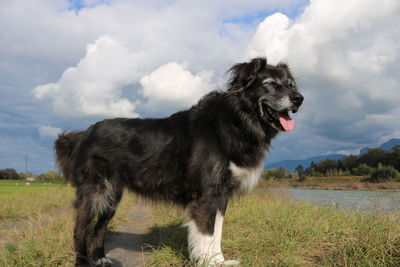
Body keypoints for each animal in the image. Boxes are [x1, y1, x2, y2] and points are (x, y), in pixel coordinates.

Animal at [54, 57, 304, 266]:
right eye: (269, 84)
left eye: (290, 84)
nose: (299, 99)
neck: (235, 120)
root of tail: (84, 134)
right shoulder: (206, 195)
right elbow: (206, 234)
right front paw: (208, 263)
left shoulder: (221, 195)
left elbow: (217, 233)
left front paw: (220, 261)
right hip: (94, 191)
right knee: (80, 229)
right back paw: (83, 262)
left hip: (112, 196)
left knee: (99, 228)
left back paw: (100, 258)